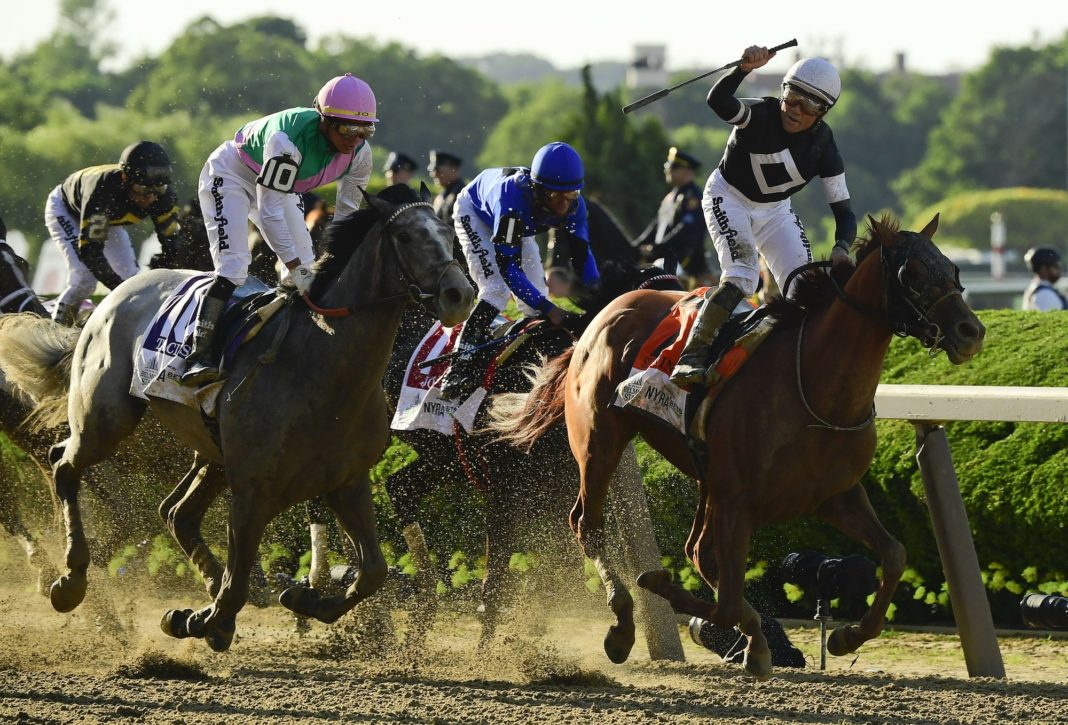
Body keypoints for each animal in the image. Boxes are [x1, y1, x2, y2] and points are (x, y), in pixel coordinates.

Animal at [0, 186, 472, 653]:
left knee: (176, 513)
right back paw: (70, 580)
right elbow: (238, 582)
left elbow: (373, 571)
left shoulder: (347, 482)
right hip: (106, 419)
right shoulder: (253, 491)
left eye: (449, 235)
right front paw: (211, 618)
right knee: (64, 464)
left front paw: (299, 599)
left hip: (211, 453)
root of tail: (112, 297)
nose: (460, 294)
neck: (322, 366)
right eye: (406, 237)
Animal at [491, 212, 982, 679]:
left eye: (953, 267)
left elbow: (894, 554)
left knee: (698, 551)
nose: (970, 331)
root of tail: (606, 310)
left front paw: (846, 637)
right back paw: (623, 625)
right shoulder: (738, 500)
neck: (815, 386)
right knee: (588, 524)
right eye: (911, 272)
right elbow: (724, 600)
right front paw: (671, 594)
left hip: (703, 476)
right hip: (600, 443)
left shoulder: (835, 495)